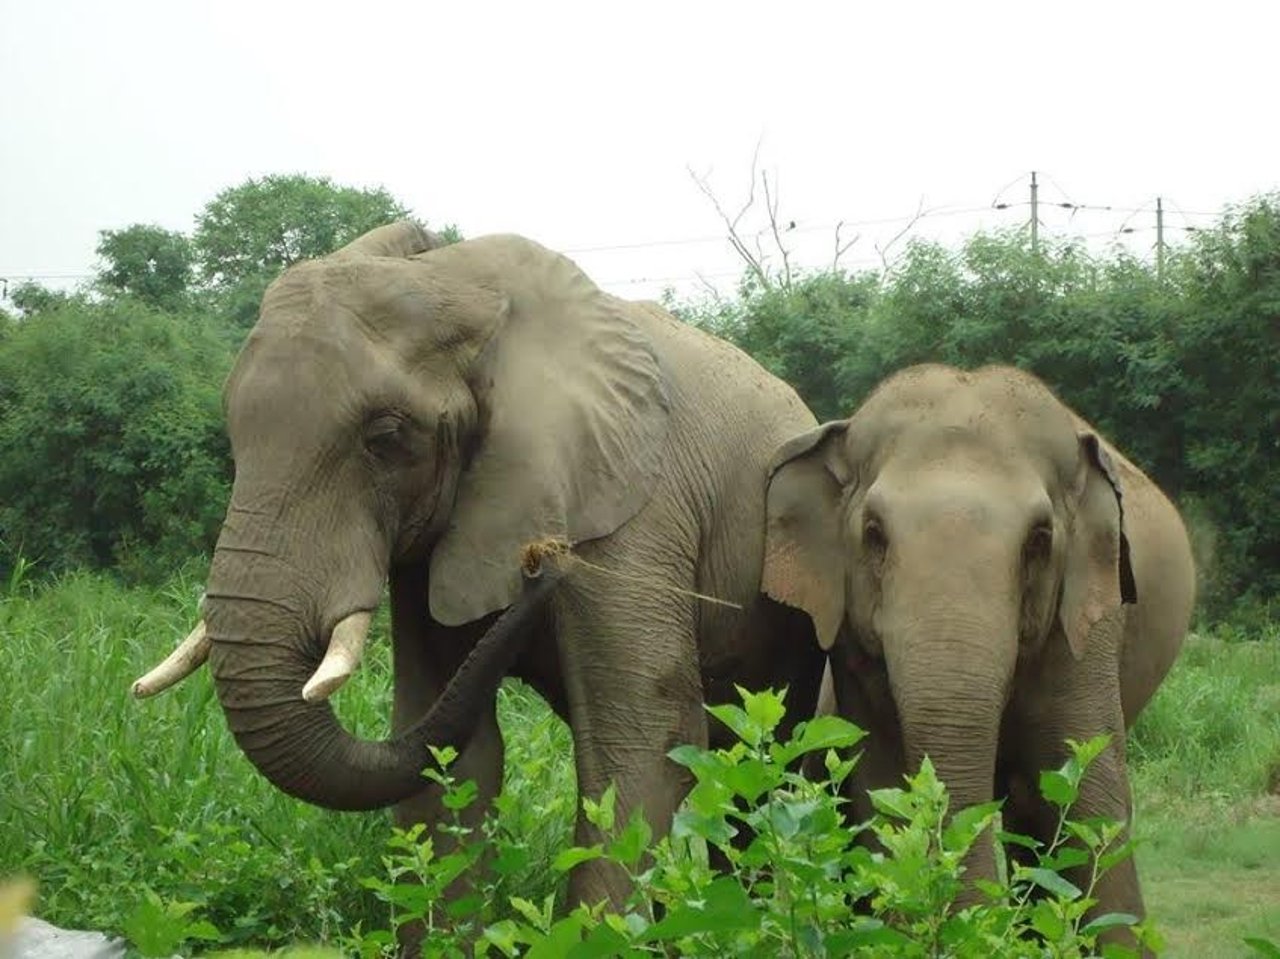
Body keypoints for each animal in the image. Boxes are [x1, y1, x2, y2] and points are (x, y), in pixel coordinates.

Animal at [135, 220, 824, 911]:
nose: (543, 562)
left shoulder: (633, 509)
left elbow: (641, 741)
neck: (465, 288)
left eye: (386, 438)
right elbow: (448, 753)